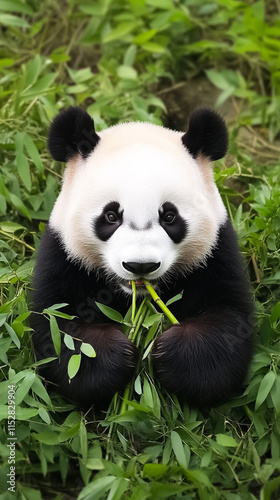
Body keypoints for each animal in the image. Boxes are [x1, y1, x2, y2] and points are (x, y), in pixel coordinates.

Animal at [30, 105, 254, 410]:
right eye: (111, 216)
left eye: (169, 216)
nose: (141, 265)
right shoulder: (64, 255)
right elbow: (58, 329)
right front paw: (115, 355)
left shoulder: (215, 253)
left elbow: (229, 321)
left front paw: (172, 351)